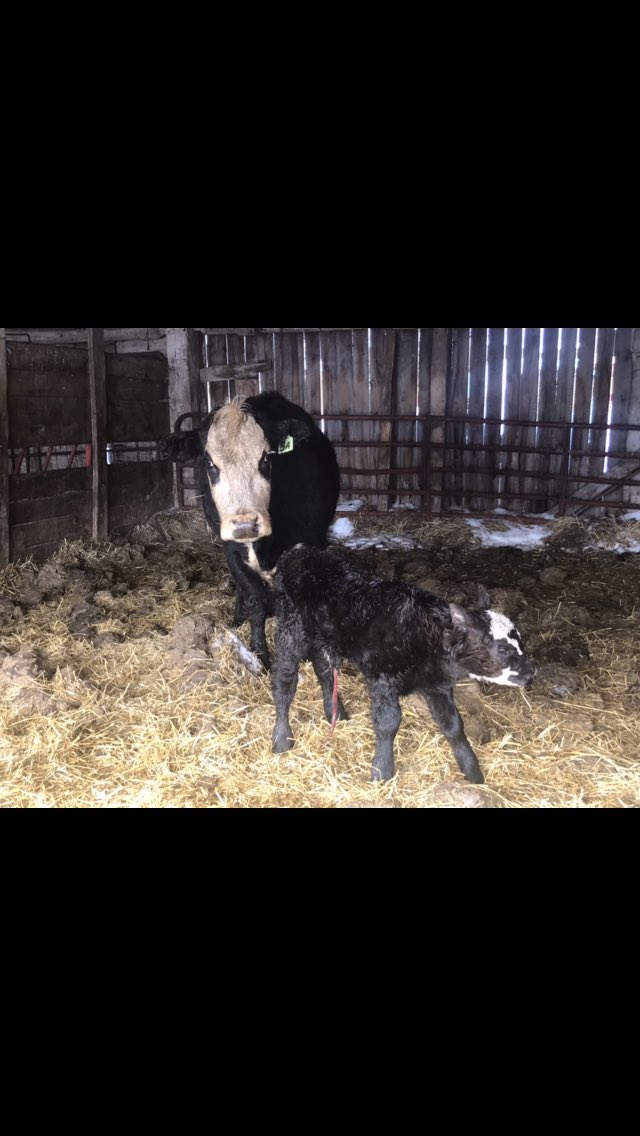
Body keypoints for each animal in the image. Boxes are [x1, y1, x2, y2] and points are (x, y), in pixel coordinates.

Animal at [163, 393, 340, 669]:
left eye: (265, 458)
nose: (245, 524)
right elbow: (255, 600)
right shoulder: (232, 550)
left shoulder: (308, 542)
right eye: (210, 463)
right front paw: (259, 653)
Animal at [271, 546, 535, 783]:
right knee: (285, 682)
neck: (425, 637)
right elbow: (388, 722)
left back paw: (336, 714)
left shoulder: (437, 684)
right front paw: (382, 772)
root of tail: (299, 552)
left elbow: (453, 725)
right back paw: (282, 739)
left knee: (324, 669)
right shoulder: (383, 678)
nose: (530, 672)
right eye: (503, 648)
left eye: (521, 639)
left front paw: (472, 771)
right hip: (291, 630)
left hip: (324, 637)